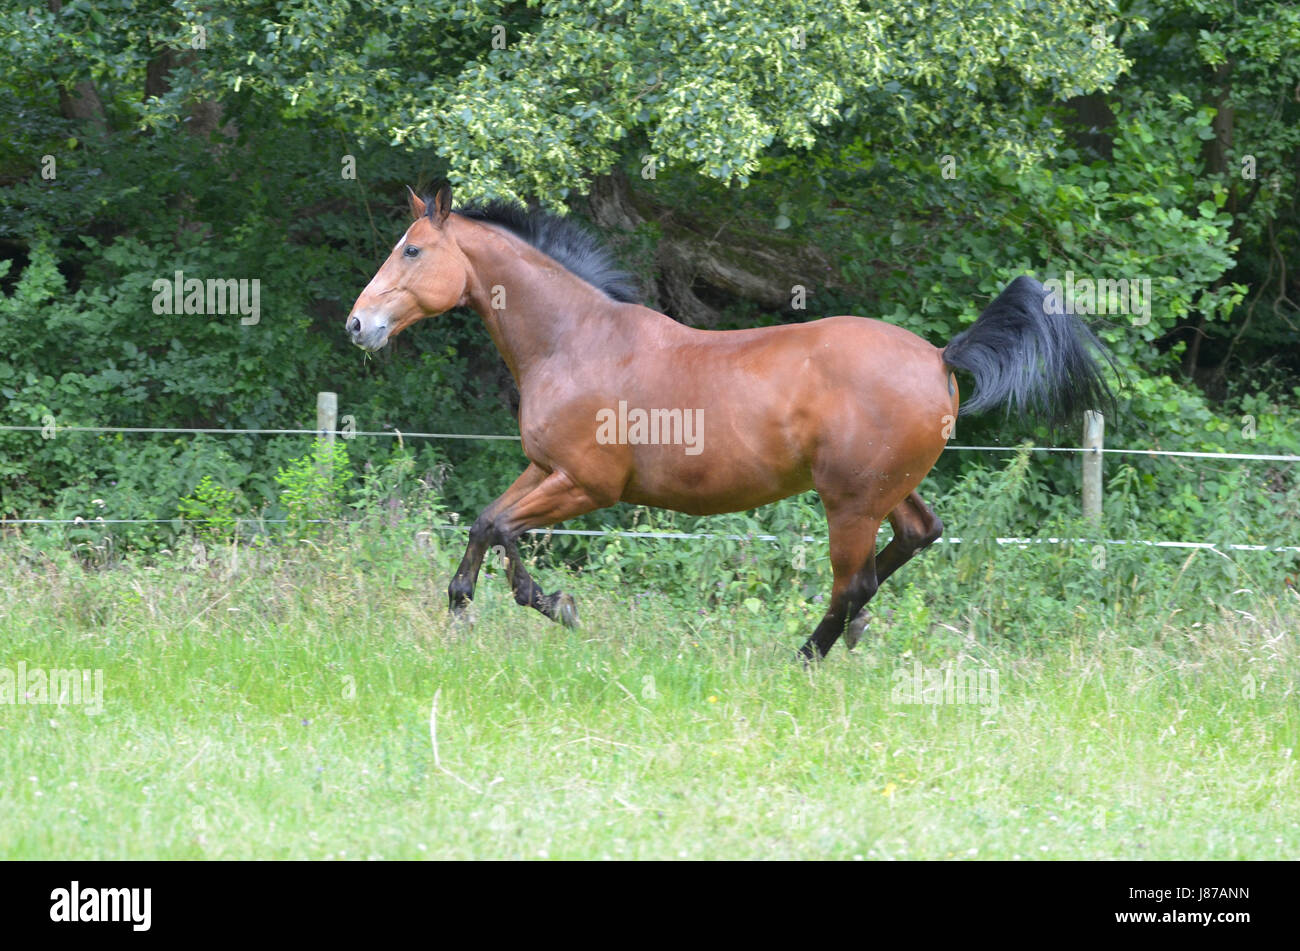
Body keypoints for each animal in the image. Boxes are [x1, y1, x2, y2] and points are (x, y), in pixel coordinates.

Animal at [346, 183, 1114, 659]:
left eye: (412, 250)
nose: (359, 325)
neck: (575, 339)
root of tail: (939, 355)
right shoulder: (544, 468)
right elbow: (485, 522)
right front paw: (461, 604)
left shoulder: (587, 485)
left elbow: (504, 530)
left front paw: (553, 603)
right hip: (884, 492)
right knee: (917, 537)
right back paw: (851, 635)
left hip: (849, 502)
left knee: (854, 581)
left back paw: (806, 654)